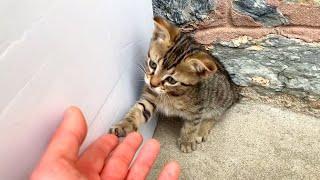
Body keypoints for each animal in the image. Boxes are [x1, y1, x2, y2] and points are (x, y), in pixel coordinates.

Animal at [109, 16, 238, 153]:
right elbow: (138, 110)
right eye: (153, 65)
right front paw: (123, 125)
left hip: (218, 101)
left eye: (171, 80)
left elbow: (191, 125)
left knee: (215, 116)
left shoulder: (197, 109)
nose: (152, 84)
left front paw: (187, 141)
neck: (170, 94)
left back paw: (201, 131)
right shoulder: (150, 98)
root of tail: (233, 88)